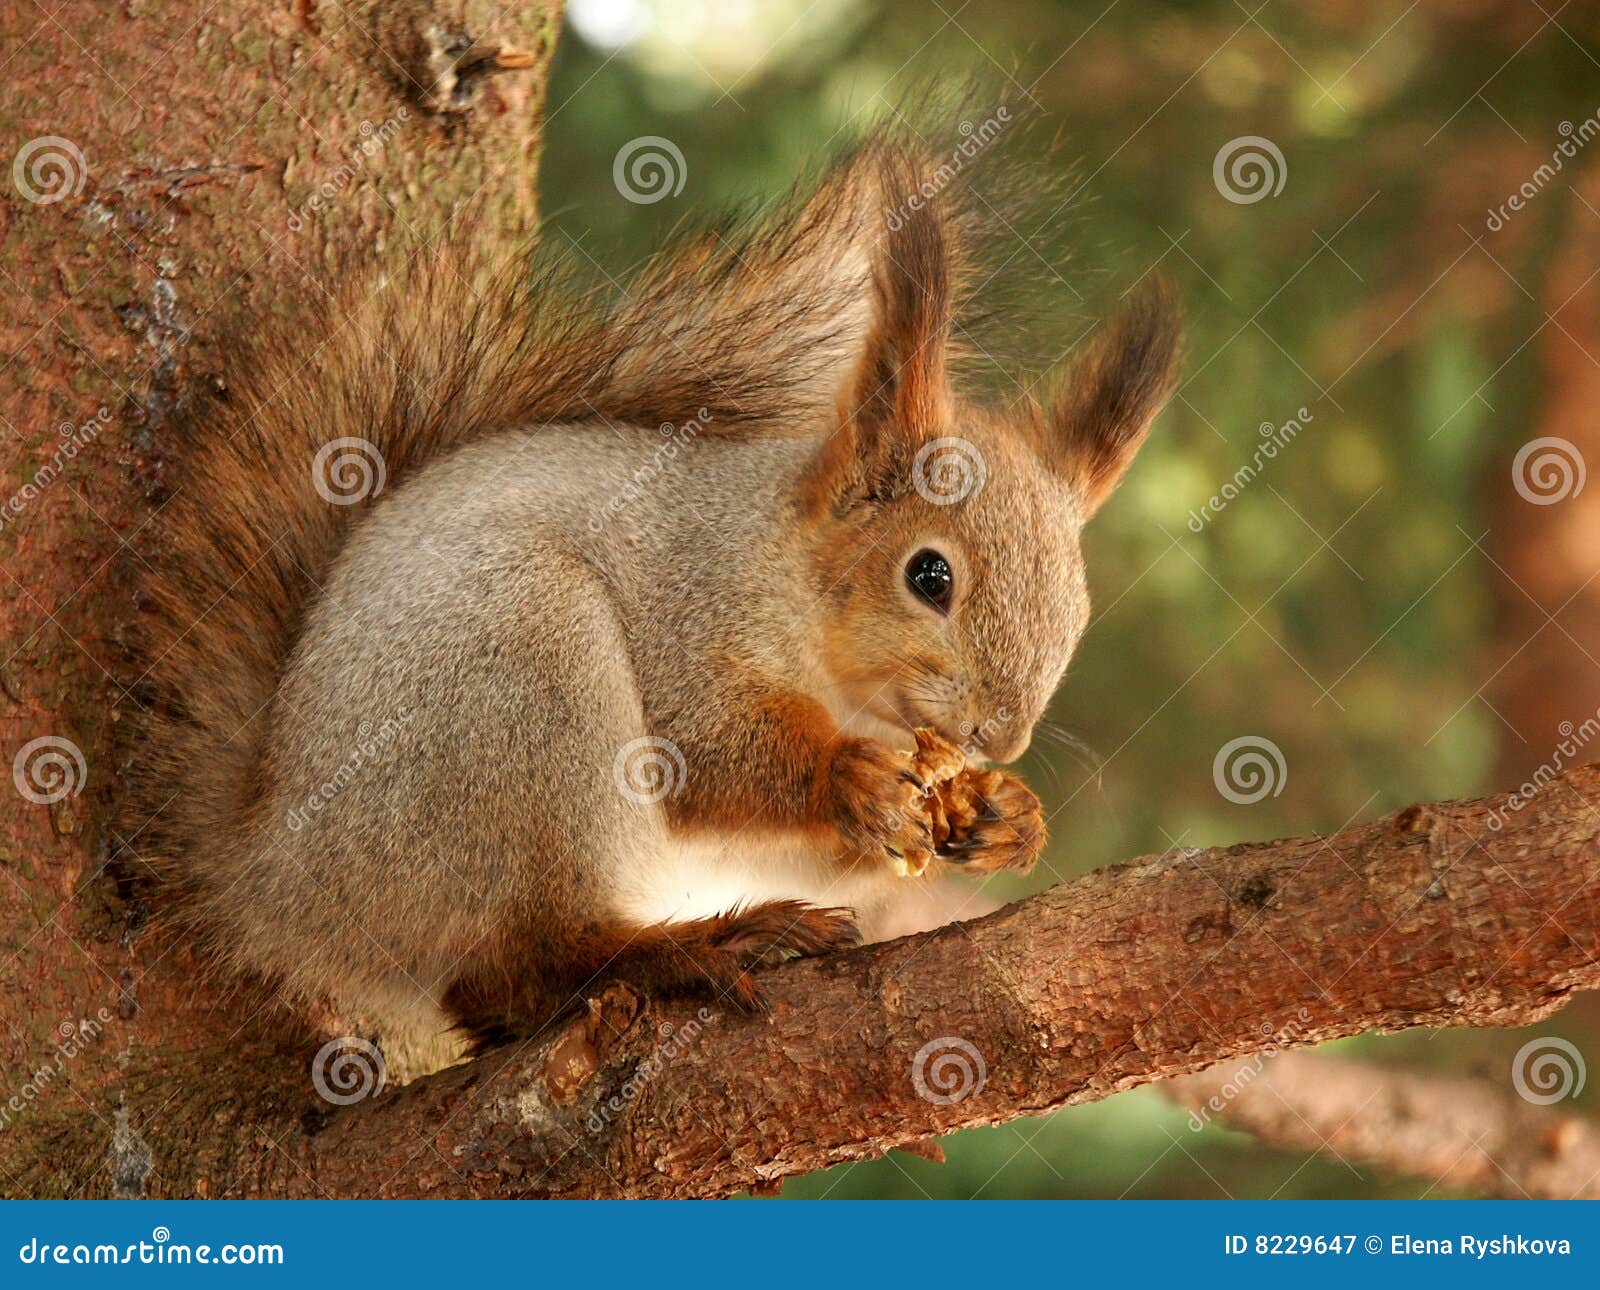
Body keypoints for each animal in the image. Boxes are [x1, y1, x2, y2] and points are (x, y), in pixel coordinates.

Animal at [122, 126, 1179, 1047]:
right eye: (930, 575)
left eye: (1079, 610)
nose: (1002, 735)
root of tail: (273, 880)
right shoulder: (686, 595)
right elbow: (704, 747)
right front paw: (848, 775)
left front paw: (1005, 813)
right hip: (518, 688)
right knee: (523, 959)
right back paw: (682, 951)